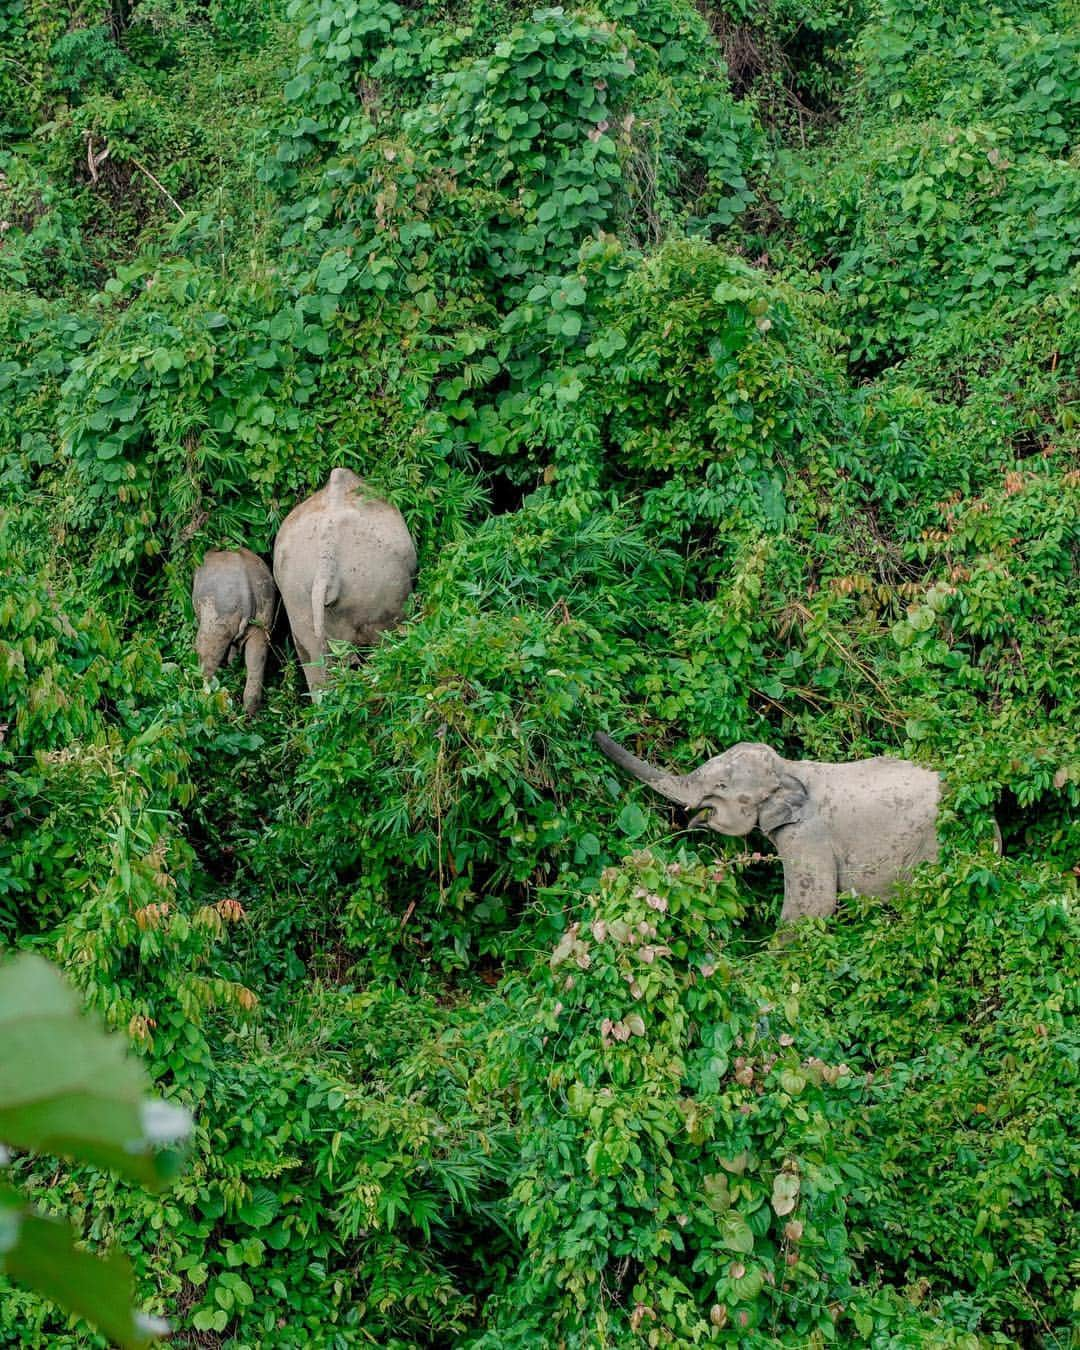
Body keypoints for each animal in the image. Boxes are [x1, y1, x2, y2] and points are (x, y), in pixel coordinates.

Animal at [194, 548, 278, 718]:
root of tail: (247, 589)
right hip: (263, 609)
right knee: (257, 654)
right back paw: (248, 716)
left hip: (221, 611)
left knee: (206, 650)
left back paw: (204, 704)